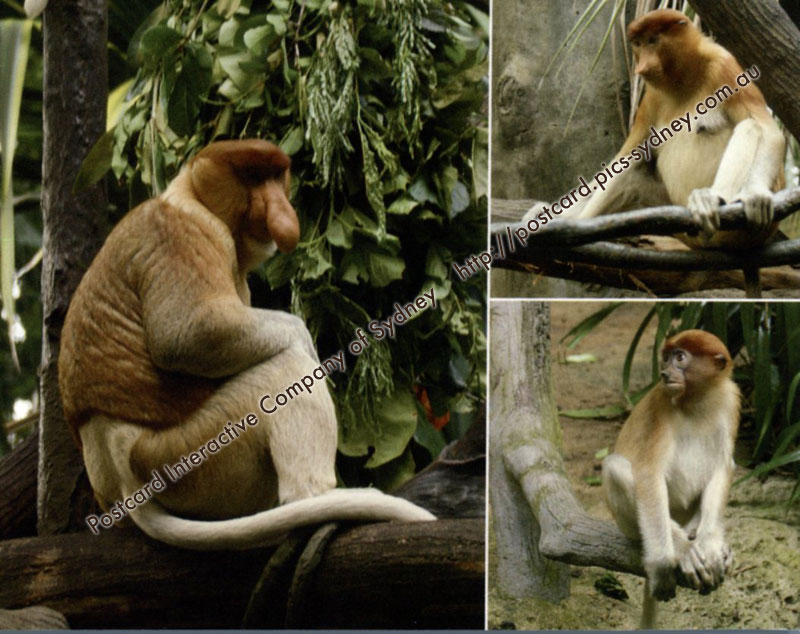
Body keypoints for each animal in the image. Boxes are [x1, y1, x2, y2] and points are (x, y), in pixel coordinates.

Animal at [58, 139, 435, 550]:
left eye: (275, 176)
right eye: (253, 177)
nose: (280, 211)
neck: (189, 194)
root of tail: (123, 478)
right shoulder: (185, 232)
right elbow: (187, 335)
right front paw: (305, 341)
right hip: (187, 454)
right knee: (283, 369)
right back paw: (315, 496)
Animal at [527, 9, 785, 249]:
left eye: (653, 40)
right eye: (638, 43)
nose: (642, 65)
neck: (683, 78)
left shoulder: (726, 67)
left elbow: (769, 131)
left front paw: (755, 194)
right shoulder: (650, 100)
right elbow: (621, 161)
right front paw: (543, 214)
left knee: (751, 127)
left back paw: (712, 199)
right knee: (630, 173)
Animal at [601, 329, 740, 628]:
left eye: (680, 357)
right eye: (665, 358)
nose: (665, 373)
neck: (697, 400)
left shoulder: (730, 400)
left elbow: (723, 467)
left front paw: (710, 547)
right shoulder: (661, 404)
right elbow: (649, 475)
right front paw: (676, 557)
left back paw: (697, 536)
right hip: (629, 525)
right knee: (615, 468)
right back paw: (680, 545)